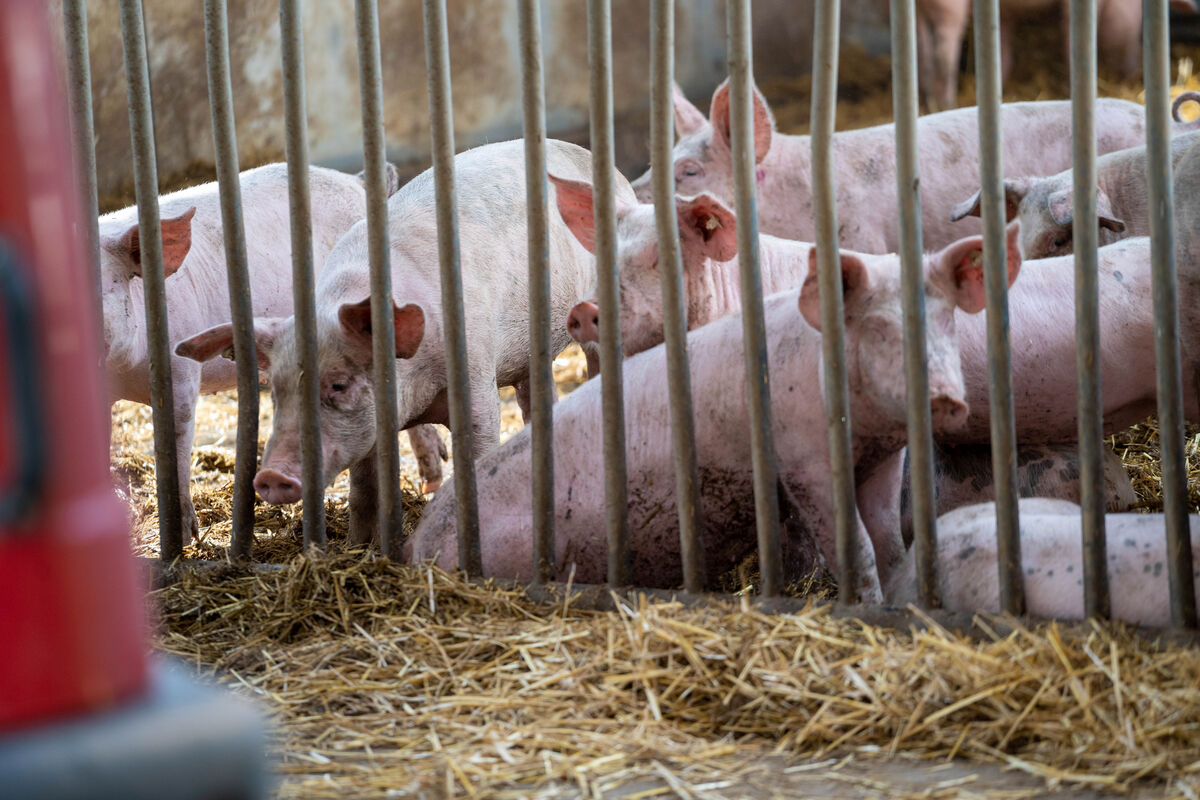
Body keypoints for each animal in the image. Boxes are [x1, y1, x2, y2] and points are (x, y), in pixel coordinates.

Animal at [408, 235, 1017, 604]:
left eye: (945, 319)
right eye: (879, 327)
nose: (947, 398)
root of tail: (414, 546)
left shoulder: (885, 458)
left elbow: (890, 540)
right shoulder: (802, 459)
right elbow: (854, 543)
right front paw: (865, 603)